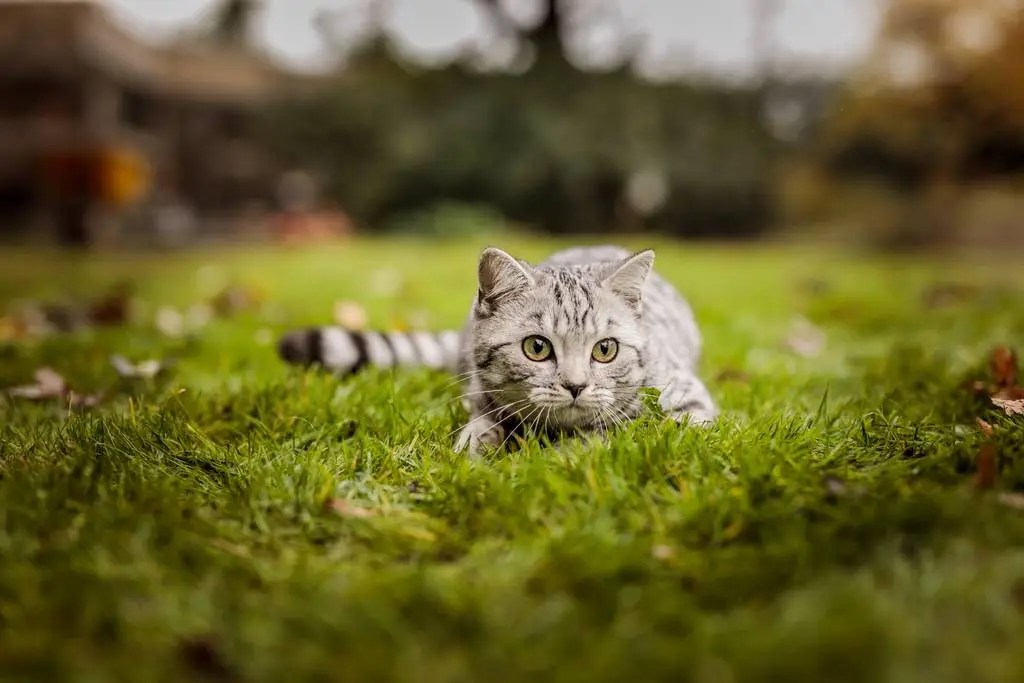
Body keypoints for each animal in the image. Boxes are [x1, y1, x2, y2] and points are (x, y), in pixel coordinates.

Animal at [276, 245, 716, 454]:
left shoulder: (687, 401)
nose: (576, 386)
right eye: (537, 347)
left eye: (605, 350)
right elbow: (479, 428)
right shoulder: (482, 396)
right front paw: (473, 450)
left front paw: (575, 450)